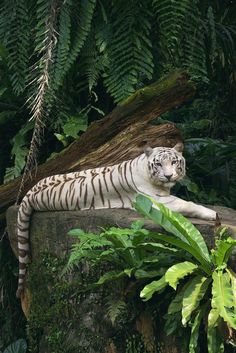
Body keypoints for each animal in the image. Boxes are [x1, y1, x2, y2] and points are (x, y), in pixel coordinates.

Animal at [16, 142, 216, 296]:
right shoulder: (154, 200)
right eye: (158, 164)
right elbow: (187, 204)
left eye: (174, 162)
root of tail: (30, 190)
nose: (168, 176)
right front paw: (212, 214)